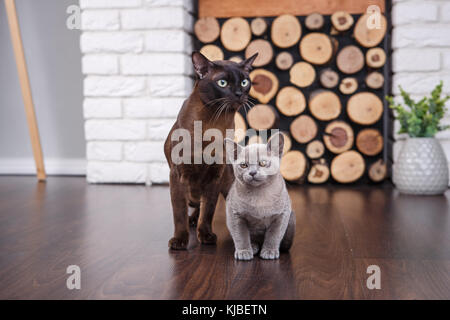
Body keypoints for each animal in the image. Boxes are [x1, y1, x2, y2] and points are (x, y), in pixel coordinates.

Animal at [164, 51, 256, 250]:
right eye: (222, 83)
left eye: (244, 82)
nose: (239, 93)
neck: (214, 121)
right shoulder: (178, 175)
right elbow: (179, 213)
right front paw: (179, 241)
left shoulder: (215, 176)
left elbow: (208, 211)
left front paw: (206, 236)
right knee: (192, 204)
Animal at [224, 132, 296, 260]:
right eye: (243, 165)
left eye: (262, 163)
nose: (252, 172)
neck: (259, 196)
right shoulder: (234, 214)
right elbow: (241, 235)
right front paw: (244, 251)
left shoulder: (282, 214)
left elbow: (274, 235)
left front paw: (269, 251)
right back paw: (253, 247)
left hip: (292, 220)